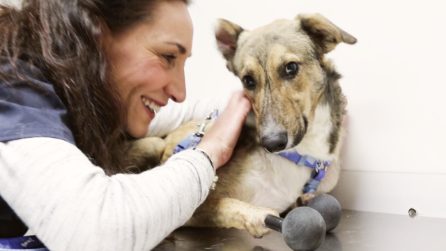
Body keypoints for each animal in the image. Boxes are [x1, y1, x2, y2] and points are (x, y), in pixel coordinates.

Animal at [132, 13, 356, 237]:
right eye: (248, 81)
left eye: (291, 68)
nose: (272, 143)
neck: (301, 154)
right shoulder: (194, 207)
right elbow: (227, 205)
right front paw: (258, 217)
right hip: (153, 144)